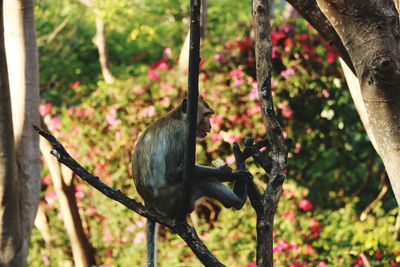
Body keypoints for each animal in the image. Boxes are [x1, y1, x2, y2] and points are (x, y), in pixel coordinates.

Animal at [133, 96, 252, 267]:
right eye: (206, 115)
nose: (210, 125)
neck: (178, 117)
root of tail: (148, 203)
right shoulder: (180, 135)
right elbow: (173, 172)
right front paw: (225, 173)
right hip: (167, 200)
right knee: (201, 182)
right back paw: (239, 200)